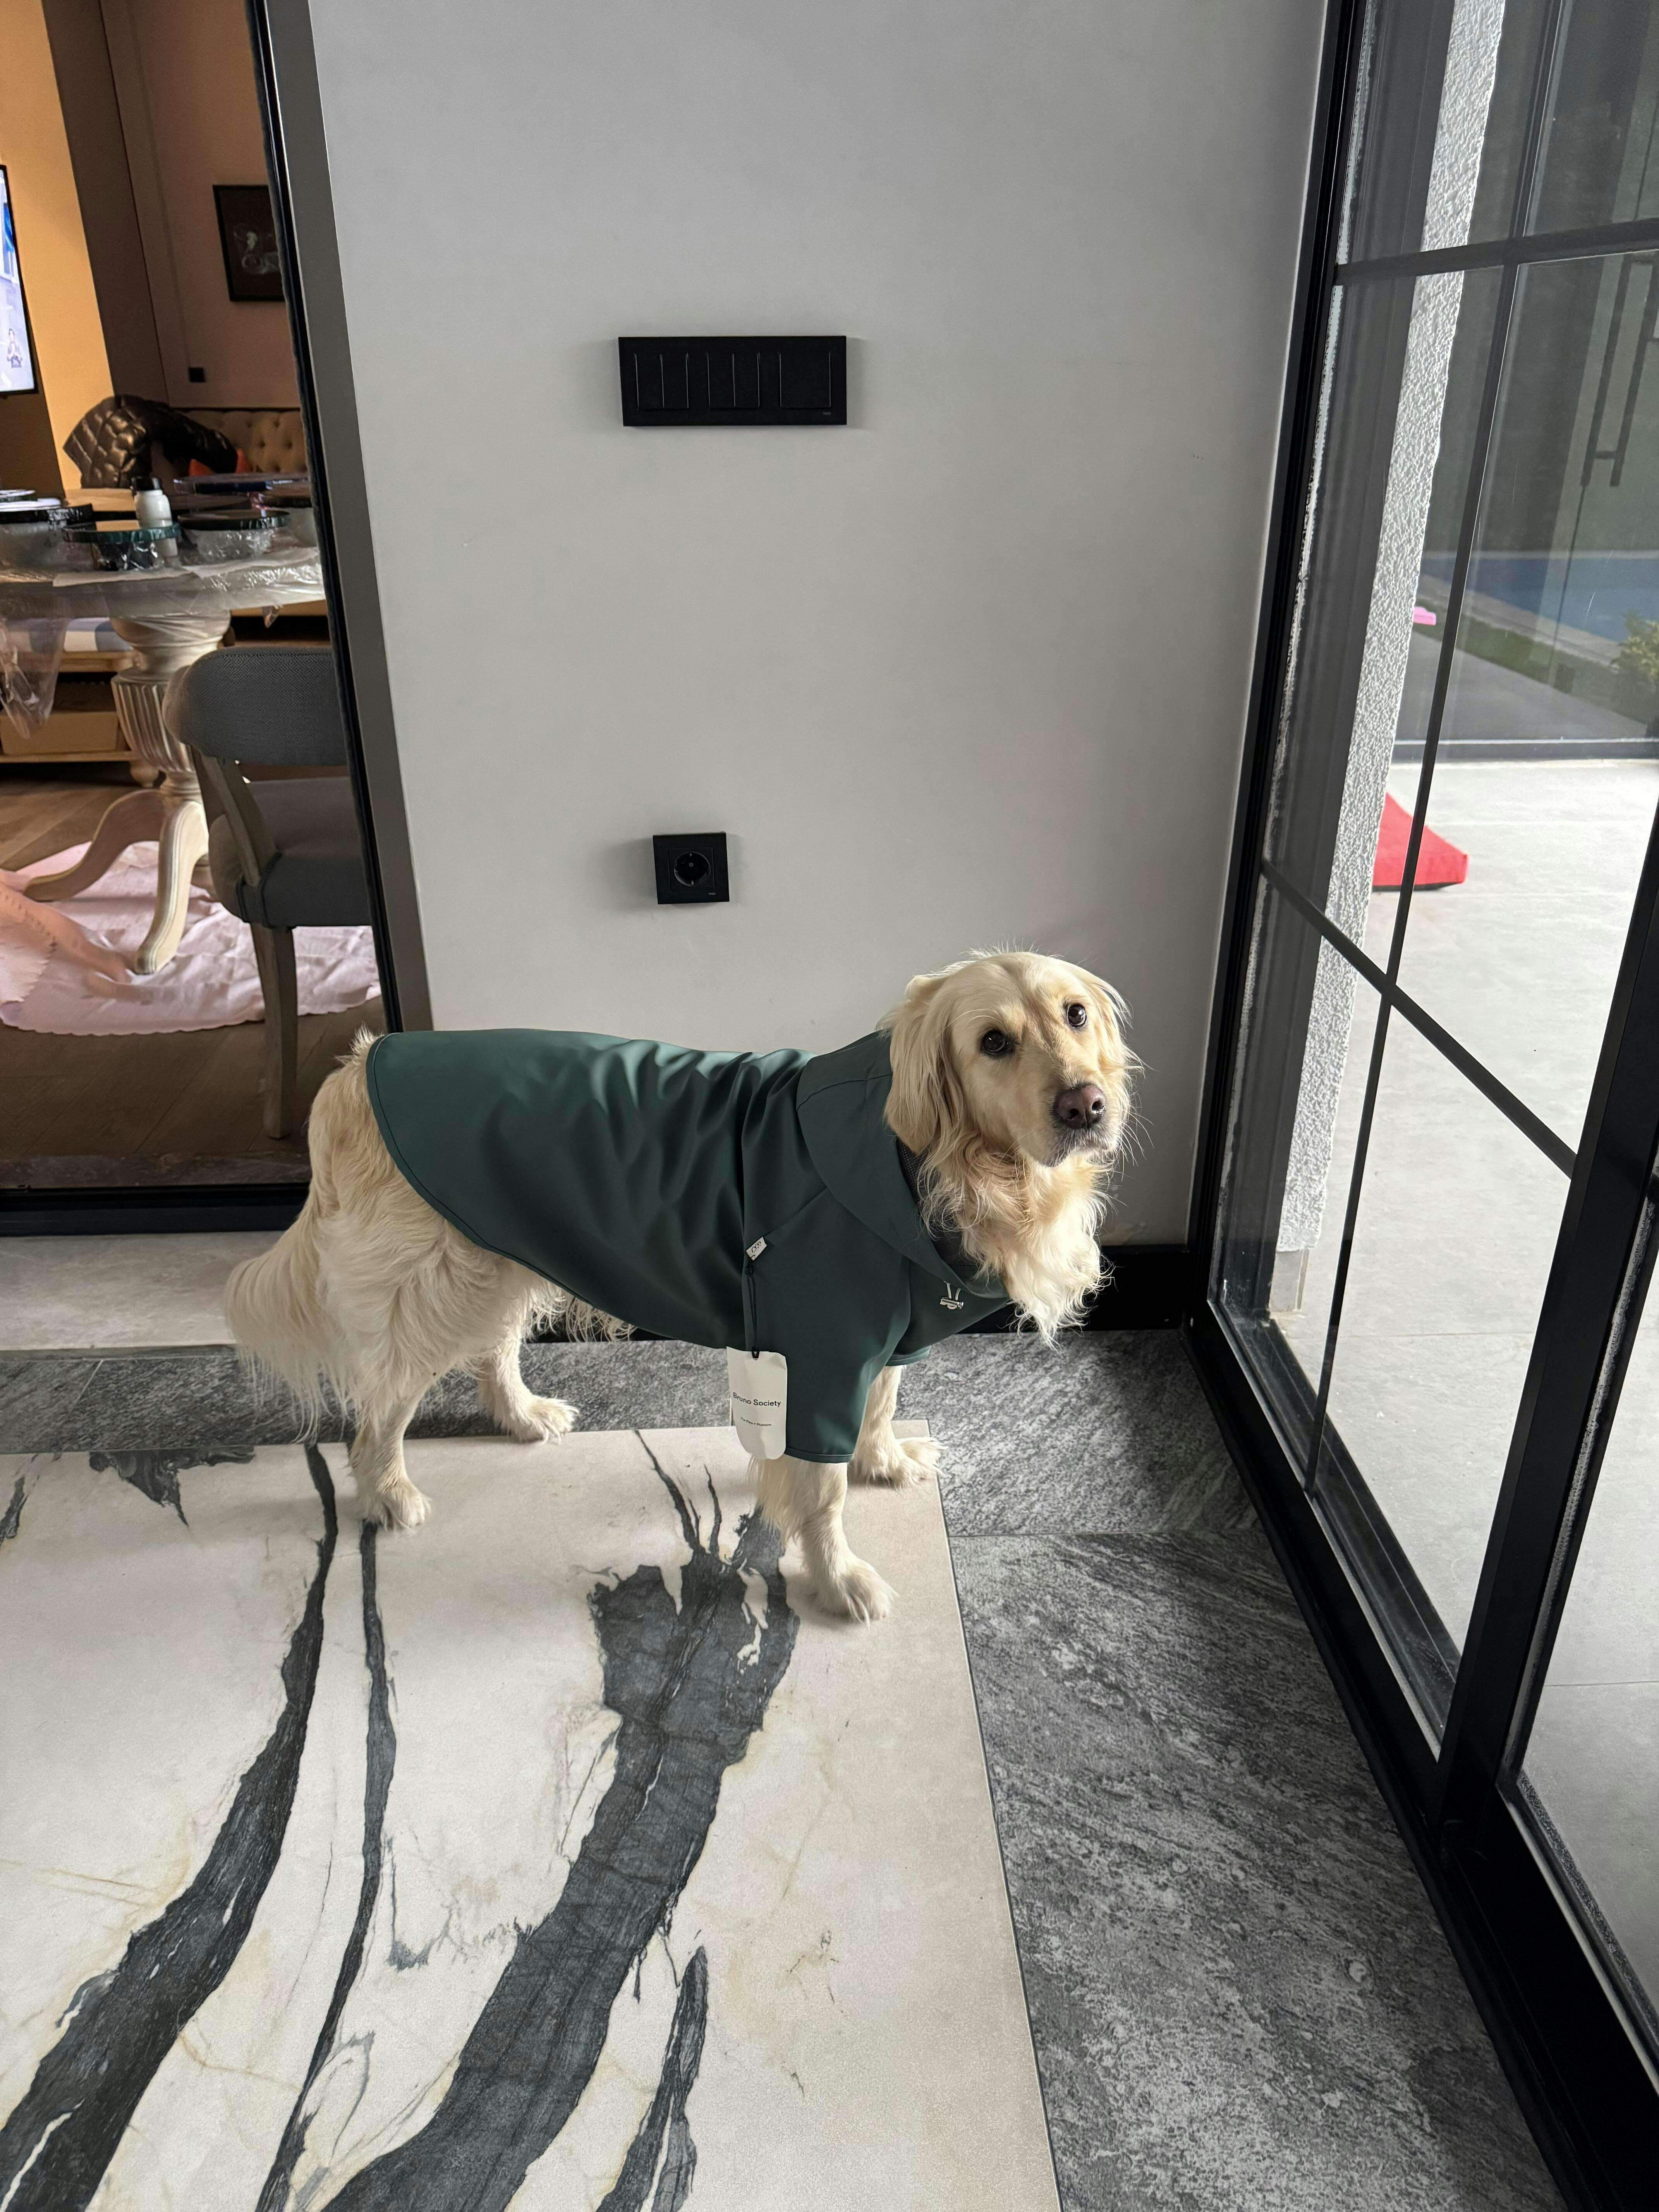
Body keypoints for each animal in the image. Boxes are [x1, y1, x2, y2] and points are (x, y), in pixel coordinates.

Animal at [226, 950, 1134, 1621]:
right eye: (993, 1042)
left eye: (1075, 1015)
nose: (1086, 1106)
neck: (923, 1162)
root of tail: (356, 1065)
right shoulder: (822, 1351)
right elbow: (823, 1487)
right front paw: (838, 1578)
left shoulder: (879, 1331)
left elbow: (879, 1408)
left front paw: (884, 1458)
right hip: (433, 1287)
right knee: (379, 1409)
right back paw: (389, 1492)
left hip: (495, 1253)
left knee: (491, 1349)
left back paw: (521, 1414)